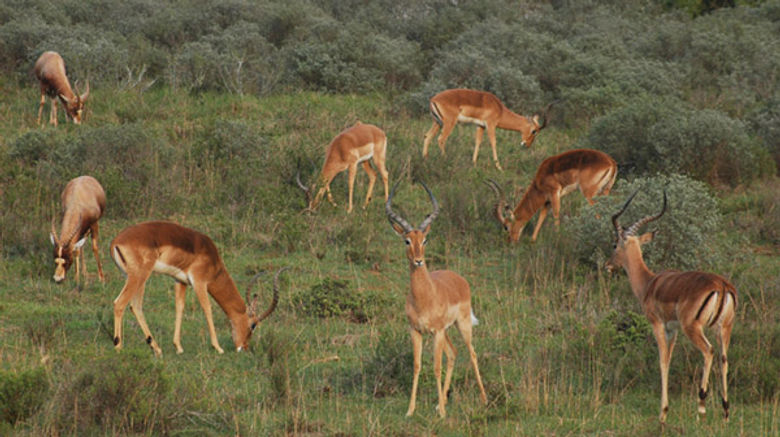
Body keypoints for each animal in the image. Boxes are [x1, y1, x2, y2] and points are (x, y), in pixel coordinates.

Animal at [110, 221, 283, 356]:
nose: (244, 347)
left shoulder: (180, 281)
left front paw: (178, 347)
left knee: (135, 306)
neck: (213, 259)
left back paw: (157, 349)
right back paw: (118, 347)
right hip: (139, 277)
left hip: (135, 279)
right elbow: (207, 308)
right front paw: (218, 347)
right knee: (120, 303)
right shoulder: (199, 282)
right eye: (253, 325)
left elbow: (180, 308)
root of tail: (115, 242)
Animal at [386, 181, 487, 418]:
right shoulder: (416, 331)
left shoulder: (437, 332)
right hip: (446, 331)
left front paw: (441, 413)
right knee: (453, 354)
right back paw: (441, 402)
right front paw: (411, 410)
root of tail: (459, 279)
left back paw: (484, 399)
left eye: (425, 239)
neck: (424, 297)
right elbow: (417, 365)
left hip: (461, 325)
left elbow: (435, 367)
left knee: (472, 353)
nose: (418, 260)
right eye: (406, 240)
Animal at [422, 88, 553, 171]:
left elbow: (478, 142)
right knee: (441, 139)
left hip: (437, 123)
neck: (500, 109)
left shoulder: (481, 126)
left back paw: (425, 159)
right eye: (534, 131)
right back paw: (446, 161)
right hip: (449, 123)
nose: (526, 145)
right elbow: (493, 143)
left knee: (427, 137)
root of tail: (433, 100)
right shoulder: (490, 125)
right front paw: (499, 167)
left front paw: (474, 163)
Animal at [488, 148, 617, 242]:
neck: (539, 180)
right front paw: (533, 240)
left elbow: (556, 213)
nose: (510, 241)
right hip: (605, 192)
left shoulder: (555, 194)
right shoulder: (547, 201)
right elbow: (542, 216)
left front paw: (557, 237)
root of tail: (612, 162)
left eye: (506, 226)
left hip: (589, 194)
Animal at [606, 191, 736, 424]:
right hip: (724, 328)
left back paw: (701, 406)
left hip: (693, 328)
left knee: (709, 351)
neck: (649, 283)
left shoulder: (658, 324)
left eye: (614, 244)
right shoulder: (672, 329)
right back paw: (725, 412)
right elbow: (669, 358)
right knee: (723, 359)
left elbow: (663, 361)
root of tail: (722, 285)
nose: (607, 266)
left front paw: (663, 412)